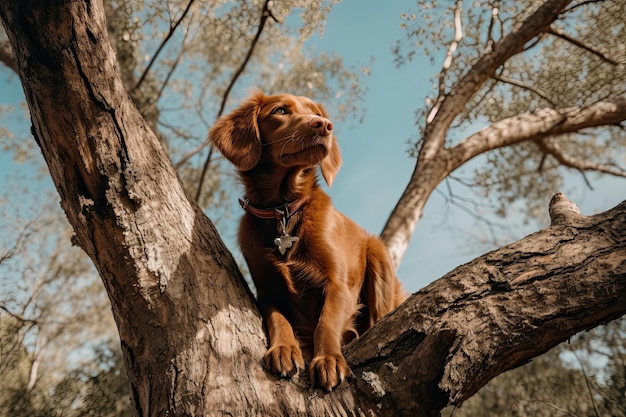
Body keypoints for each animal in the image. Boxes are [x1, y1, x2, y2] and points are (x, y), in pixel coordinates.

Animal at [210, 91, 404, 390]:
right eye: (280, 111)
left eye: (317, 113)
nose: (324, 125)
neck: (283, 210)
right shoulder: (267, 291)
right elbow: (278, 319)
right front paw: (284, 349)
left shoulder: (339, 284)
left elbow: (326, 322)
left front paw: (328, 359)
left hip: (378, 256)